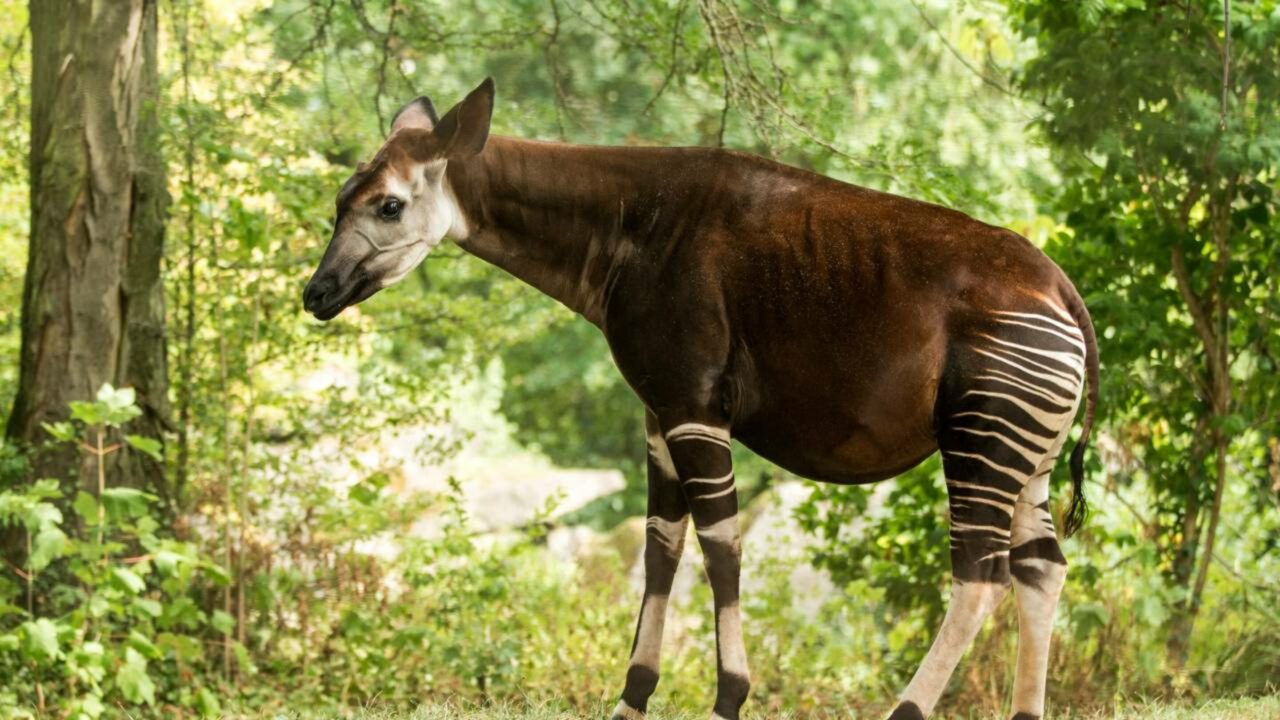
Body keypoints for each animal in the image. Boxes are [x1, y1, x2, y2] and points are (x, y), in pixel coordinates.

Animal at [302, 78, 1098, 720]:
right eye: (340, 201)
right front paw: (631, 700)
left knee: (980, 574)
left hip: (983, 437)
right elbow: (662, 548)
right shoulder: (658, 410)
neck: (625, 229)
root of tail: (1062, 292)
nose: (316, 293)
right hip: (1029, 455)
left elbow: (721, 549)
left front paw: (728, 700)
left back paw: (903, 710)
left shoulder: (694, 405)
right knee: (1040, 567)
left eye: (389, 206)